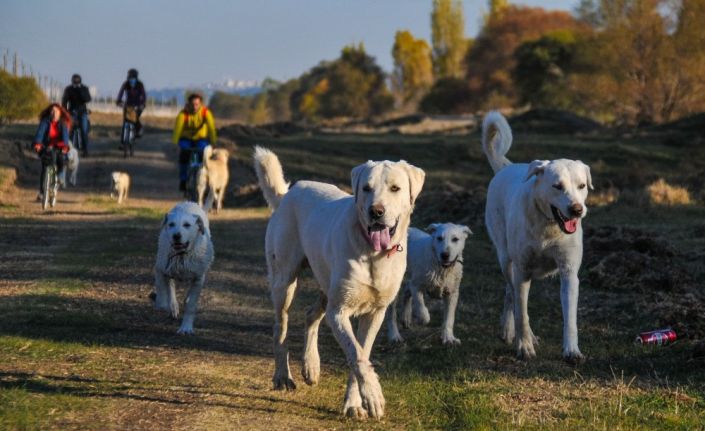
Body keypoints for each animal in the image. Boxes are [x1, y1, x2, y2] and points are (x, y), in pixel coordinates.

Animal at [155, 201, 216, 336]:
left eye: (187, 225)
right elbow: (163, 290)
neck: (181, 255)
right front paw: (166, 305)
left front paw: (186, 327)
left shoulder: (198, 279)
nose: (176, 236)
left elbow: (191, 304)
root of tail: (188, 203)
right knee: (170, 286)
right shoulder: (160, 268)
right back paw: (173, 306)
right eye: (171, 224)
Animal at [256, 145, 426, 418]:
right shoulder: (339, 312)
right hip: (285, 279)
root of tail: (288, 195)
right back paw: (282, 376)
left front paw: (354, 403)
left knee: (311, 314)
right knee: (280, 327)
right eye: (366, 188)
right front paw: (373, 396)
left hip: (326, 284)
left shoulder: (375, 313)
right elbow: (357, 356)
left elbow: (362, 353)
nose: (376, 212)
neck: (373, 253)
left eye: (395, 188)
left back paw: (311, 366)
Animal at [482, 109, 592, 362]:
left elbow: (570, 319)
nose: (577, 210)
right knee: (512, 293)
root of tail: (506, 167)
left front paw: (572, 350)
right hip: (506, 258)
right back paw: (513, 331)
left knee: (511, 293)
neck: (549, 227)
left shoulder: (569, 272)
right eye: (557, 186)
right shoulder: (522, 269)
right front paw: (524, 346)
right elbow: (522, 313)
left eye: (582, 186)